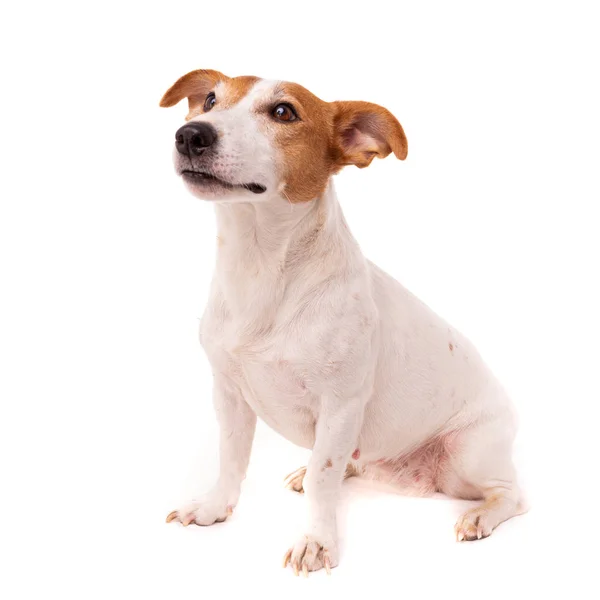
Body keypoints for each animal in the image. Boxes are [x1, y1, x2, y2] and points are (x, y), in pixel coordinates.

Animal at [159, 70, 524, 576]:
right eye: (210, 100)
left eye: (284, 112)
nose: (190, 134)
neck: (258, 269)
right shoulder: (229, 396)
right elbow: (232, 460)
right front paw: (215, 508)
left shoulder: (340, 405)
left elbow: (323, 479)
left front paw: (317, 542)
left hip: (468, 453)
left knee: (513, 495)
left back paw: (480, 516)